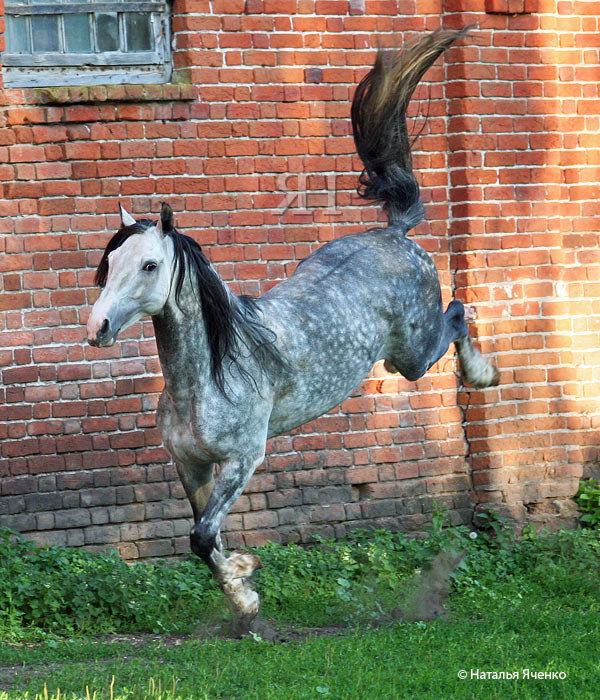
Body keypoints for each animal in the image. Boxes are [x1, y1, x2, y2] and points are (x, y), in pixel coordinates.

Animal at [84, 28, 496, 636]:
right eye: (110, 263)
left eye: (150, 265)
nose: (99, 328)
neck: (207, 377)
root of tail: (396, 234)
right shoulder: (191, 465)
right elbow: (203, 539)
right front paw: (244, 592)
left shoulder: (242, 461)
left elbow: (202, 536)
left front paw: (246, 584)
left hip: (413, 357)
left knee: (460, 312)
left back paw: (485, 373)